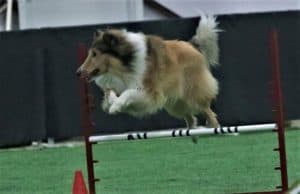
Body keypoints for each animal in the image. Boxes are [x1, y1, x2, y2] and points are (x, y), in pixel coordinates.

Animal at [77, 15, 220, 133]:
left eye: (95, 54)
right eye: (90, 53)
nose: (78, 72)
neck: (126, 64)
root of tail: (191, 45)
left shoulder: (149, 92)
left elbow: (128, 93)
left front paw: (115, 106)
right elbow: (110, 93)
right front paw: (111, 103)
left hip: (194, 95)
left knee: (209, 112)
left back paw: (215, 129)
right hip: (175, 103)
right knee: (190, 117)